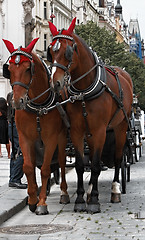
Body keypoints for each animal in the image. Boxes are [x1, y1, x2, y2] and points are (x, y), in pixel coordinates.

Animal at [2, 38, 69, 216]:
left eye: (27, 69)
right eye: (9, 69)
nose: (17, 101)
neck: (39, 106)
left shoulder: (51, 138)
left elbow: (45, 169)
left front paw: (42, 204)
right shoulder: (25, 138)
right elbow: (28, 167)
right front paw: (32, 200)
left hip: (61, 139)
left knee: (61, 162)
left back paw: (64, 193)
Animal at [47, 17, 133, 213]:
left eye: (68, 52)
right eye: (51, 52)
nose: (55, 83)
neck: (84, 91)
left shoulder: (100, 130)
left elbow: (95, 165)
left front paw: (93, 201)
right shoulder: (77, 131)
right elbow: (81, 165)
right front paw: (80, 199)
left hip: (120, 127)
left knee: (118, 159)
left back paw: (115, 190)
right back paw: (89, 191)